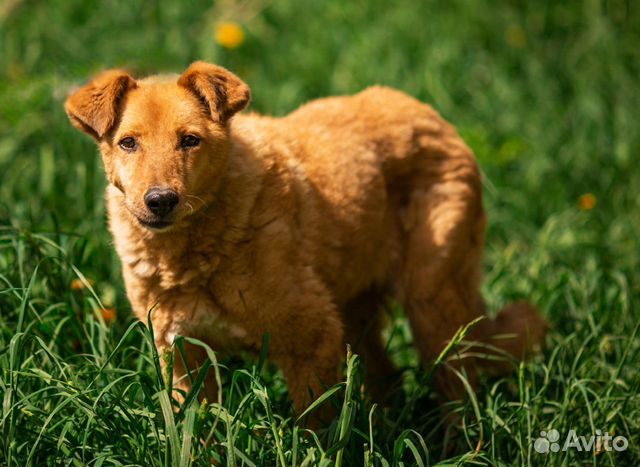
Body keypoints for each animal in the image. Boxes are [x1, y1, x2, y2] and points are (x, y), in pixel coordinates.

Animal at [63, 61, 544, 416]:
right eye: (129, 143)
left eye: (190, 141)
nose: (160, 201)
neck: (193, 254)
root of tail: (431, 113)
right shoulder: (180, 356)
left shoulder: (310, 338)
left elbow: (314, 433)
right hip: (356, 312)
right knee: (390, 380)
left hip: (433, 306)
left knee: (461, 397)